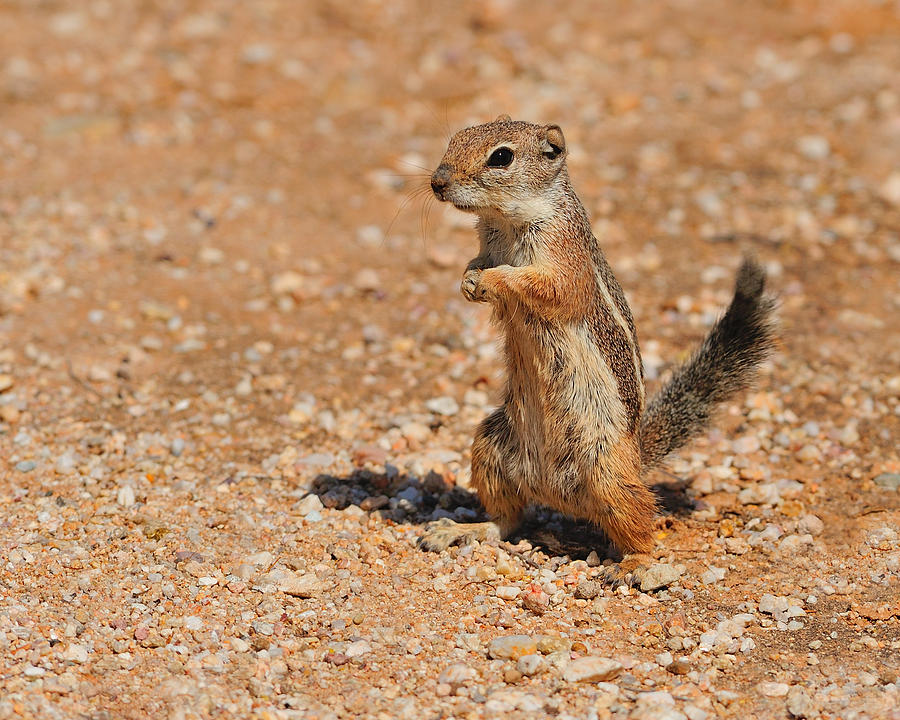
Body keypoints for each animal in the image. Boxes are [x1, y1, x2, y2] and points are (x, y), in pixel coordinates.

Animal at [418, 116, 776, 564]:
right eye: (456, 138)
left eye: (501, 157)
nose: (437, 181)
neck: (506, 221)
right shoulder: (487, 245)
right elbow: (477, 262)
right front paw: (468, 280)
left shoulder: (563, 258)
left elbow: (545, 286)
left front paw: (491, 281)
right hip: (491, 445)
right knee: (508, 521)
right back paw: (460, 530)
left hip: (606, 471)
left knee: (642, 528)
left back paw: (635, 565)